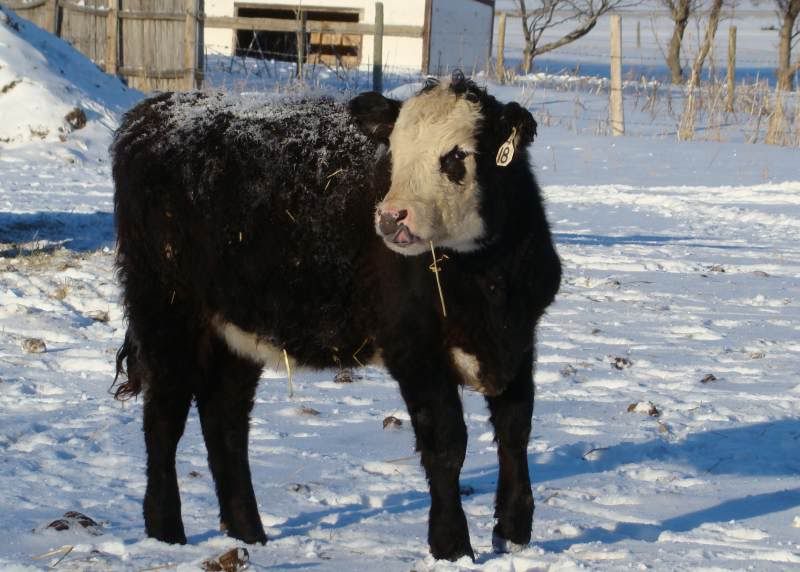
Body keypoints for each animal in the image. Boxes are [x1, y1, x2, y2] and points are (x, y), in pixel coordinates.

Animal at [111, 73, 561, 561]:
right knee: (163, 419)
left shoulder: (519, 339)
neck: (489, 281)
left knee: (225, 421)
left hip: (235, 327)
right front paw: (452, 546)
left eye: (457, 155)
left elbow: (516, 431)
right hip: (165, 310)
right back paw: (166, 532)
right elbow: (446, 443)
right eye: (395, 152)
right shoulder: (411, 345)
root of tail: (155, 110)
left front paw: (514, 533)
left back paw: (248, 533)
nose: (390, 218)